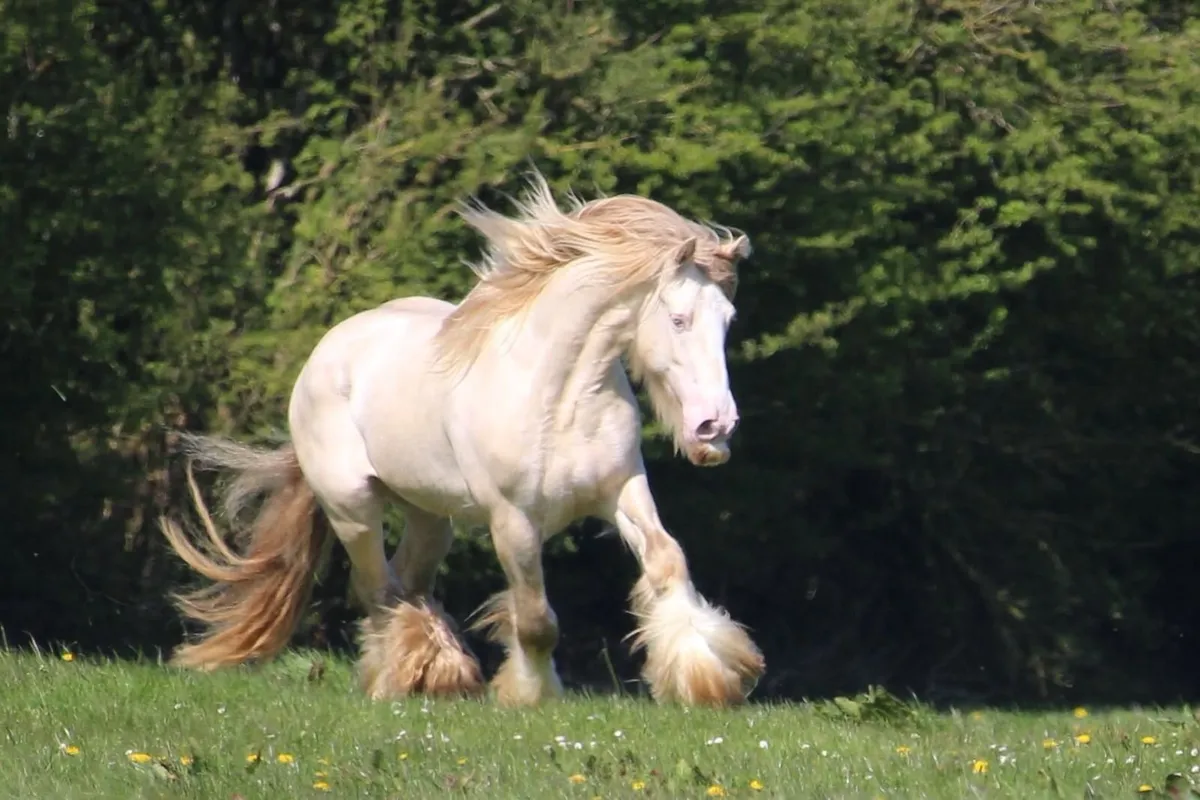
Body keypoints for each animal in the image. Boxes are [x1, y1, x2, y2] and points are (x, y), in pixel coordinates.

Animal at [159, 172, 765, 707]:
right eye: (679, 319)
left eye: (729, 319)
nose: (716, 427)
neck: (560, 397)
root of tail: (329, 349)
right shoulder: (512, 522)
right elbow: (537, 621)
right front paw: (530, 694)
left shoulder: (621, 491)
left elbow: (668, 562)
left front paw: (706, 680)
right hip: (352, 508)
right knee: (378, 589)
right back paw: (398, 681)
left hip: (431, 517)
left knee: (407, 584)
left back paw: (436, 675)